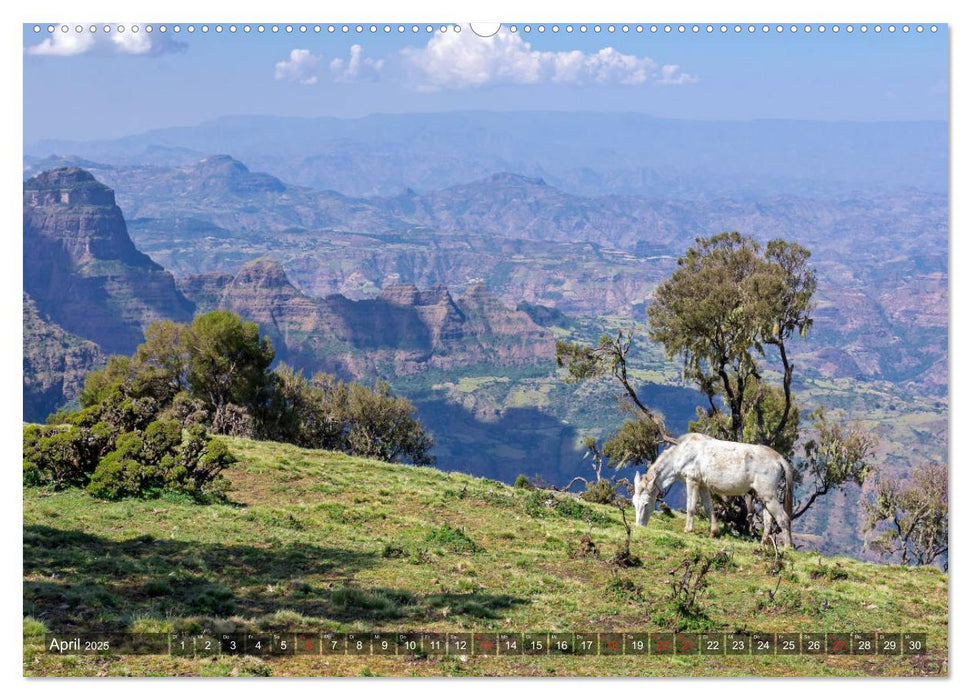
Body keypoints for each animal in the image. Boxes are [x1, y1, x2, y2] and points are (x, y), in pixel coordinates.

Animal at [636, 432, 792, 548]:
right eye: (634, 504)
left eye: (645, 504)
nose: (639, 526)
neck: (681, 453)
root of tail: (778, 458)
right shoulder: (703, 485)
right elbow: (708, 508)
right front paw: (713, 532)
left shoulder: (692, 480)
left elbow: (691, 508)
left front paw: (688, 529)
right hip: (764, 495)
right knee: (768, 519)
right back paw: (763, 543)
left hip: (768, 494)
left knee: (783, 518)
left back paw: (787, 547)